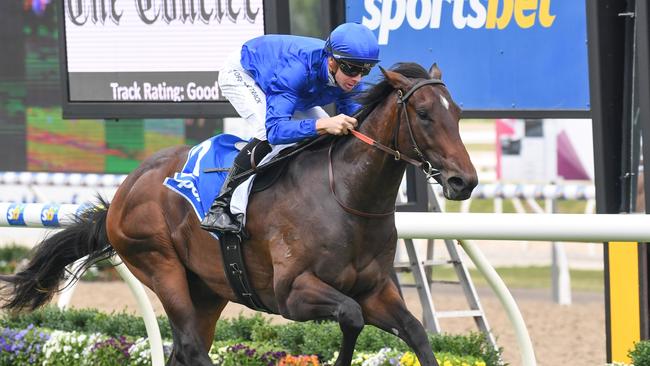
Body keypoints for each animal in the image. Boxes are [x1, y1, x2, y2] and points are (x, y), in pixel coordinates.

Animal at [0, 63, 476, 366]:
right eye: (424, 114)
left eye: (458, 113)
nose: (464, 182)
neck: (345, 197)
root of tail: (125, 189)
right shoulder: (293, 293)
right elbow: (351, 317)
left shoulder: (375, 290)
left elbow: (416, 333)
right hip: (158, 263)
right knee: (191, 347)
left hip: (209, 288)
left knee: (185, 348)